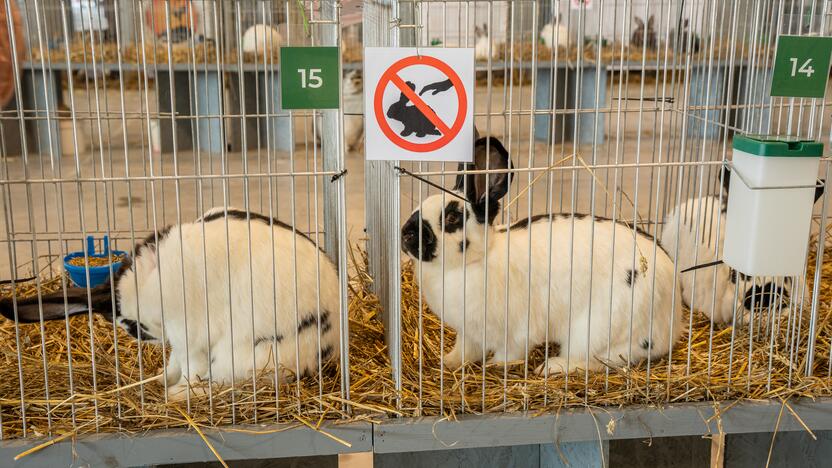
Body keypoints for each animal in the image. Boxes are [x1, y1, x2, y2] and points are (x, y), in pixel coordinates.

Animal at [0, 207, 342, 400]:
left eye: (130, 325)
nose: (144, 337)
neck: (146, 284)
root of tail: (325, 349)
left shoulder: (189, 335)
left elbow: (191, 368)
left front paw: (172, 390)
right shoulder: (179, 342)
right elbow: (174, 364)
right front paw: (158, 380)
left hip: (245, 355)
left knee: (230, 381)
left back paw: (178, 395)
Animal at [402, 136, 684, 376]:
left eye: (451, 218)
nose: (405, 234)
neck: (474, 260)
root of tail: (673, 321)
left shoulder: (516, 331)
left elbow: (510, 354)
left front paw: (494, 367)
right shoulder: (469, 332)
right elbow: (465, 350)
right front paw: (447, 363)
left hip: (598, 328)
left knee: (597, 360)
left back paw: (552, 367)